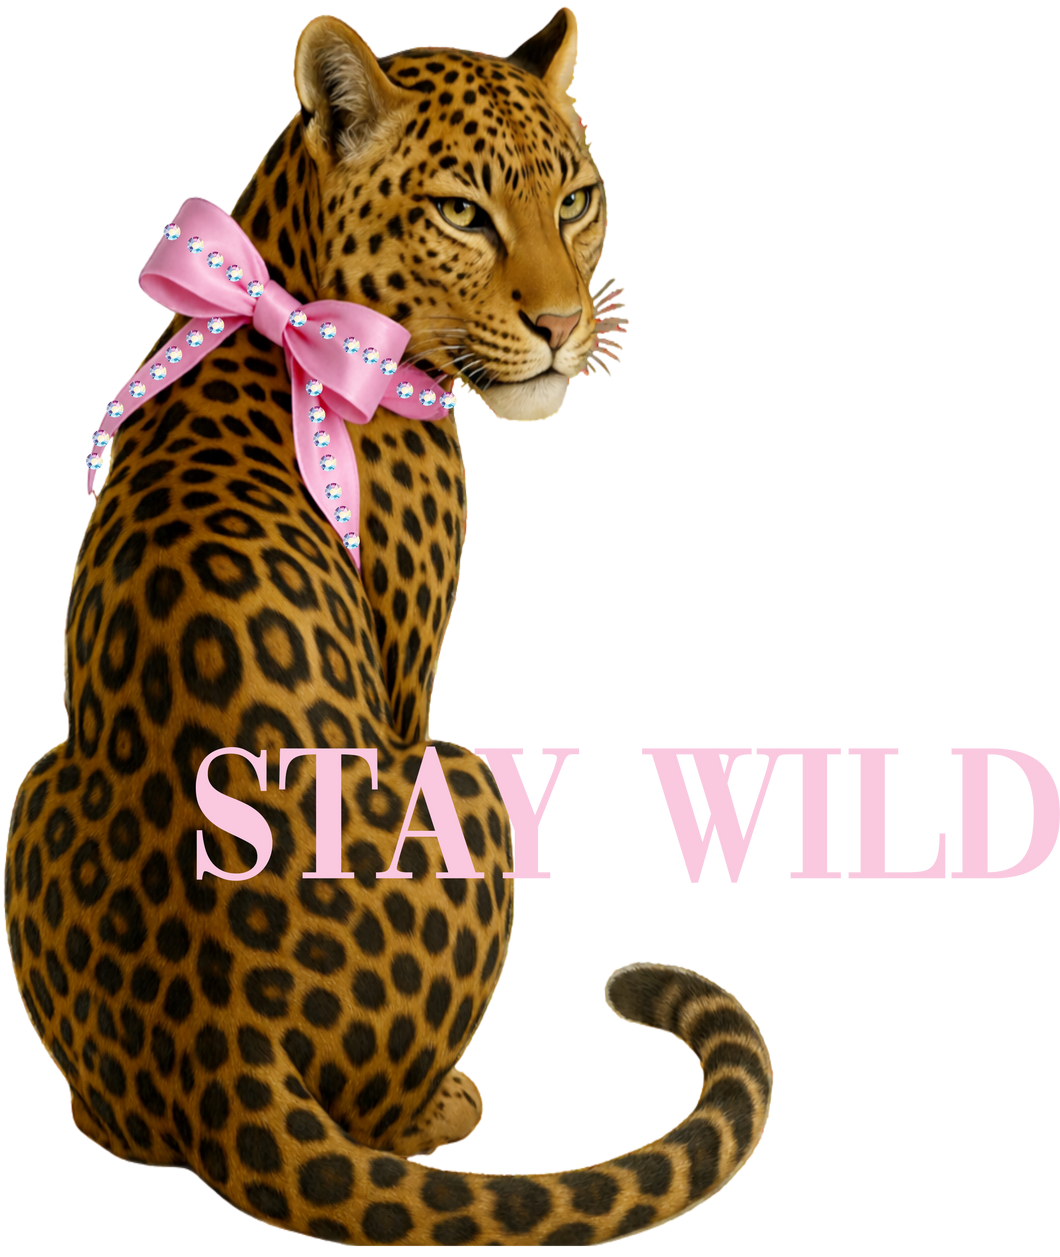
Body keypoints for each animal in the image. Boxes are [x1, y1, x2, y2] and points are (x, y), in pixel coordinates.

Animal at [3, 6, 773, 1248]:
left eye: (575, 199)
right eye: (462, 211)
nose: (562, 325)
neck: (282, 293)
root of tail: (225, 1048)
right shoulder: (411, 676)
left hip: (35, 785)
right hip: (466, 781)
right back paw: (443, 1105)